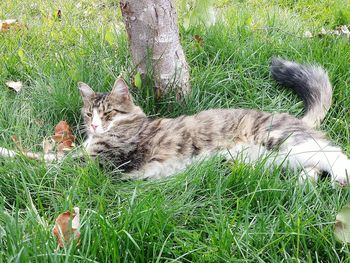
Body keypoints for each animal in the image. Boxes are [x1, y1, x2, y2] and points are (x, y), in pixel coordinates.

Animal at [79, 57, 350, 186]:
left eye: (108, 113)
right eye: (88, 114)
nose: (93, 125)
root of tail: (294, 118)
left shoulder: (105, 159)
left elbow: (70, 164)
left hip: (282, 139)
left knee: (334, 152)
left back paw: (341, 178)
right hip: (279, 158)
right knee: (316, 163)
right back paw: (304, 182)